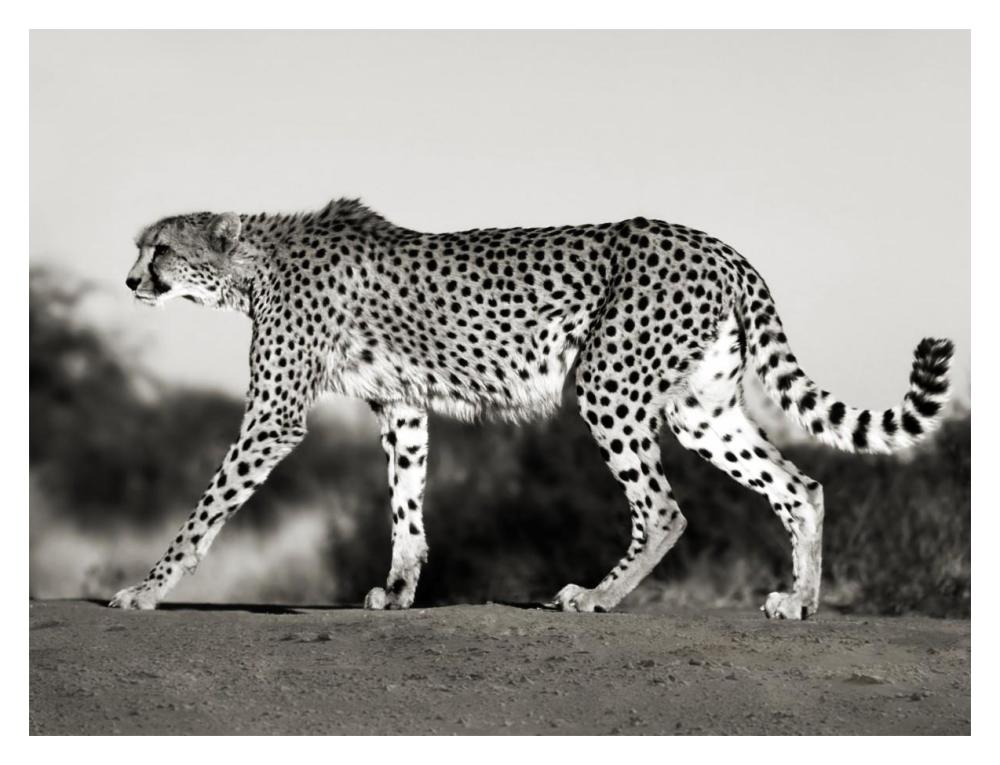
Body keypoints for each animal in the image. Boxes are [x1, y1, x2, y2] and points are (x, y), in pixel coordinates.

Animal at [111, 198, 954, 617]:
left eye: (160, 249)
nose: (129, 281)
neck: (254, 263)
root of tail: (717, 244)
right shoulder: (402, 404)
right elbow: (406, 503)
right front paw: (399, 590)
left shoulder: (276, 413)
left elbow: (207, 508)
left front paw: (147, 588)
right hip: (700, 408)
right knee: (800, 484)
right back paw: (799, 600)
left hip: (609, 383)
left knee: (664, 508)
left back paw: (597, 595)